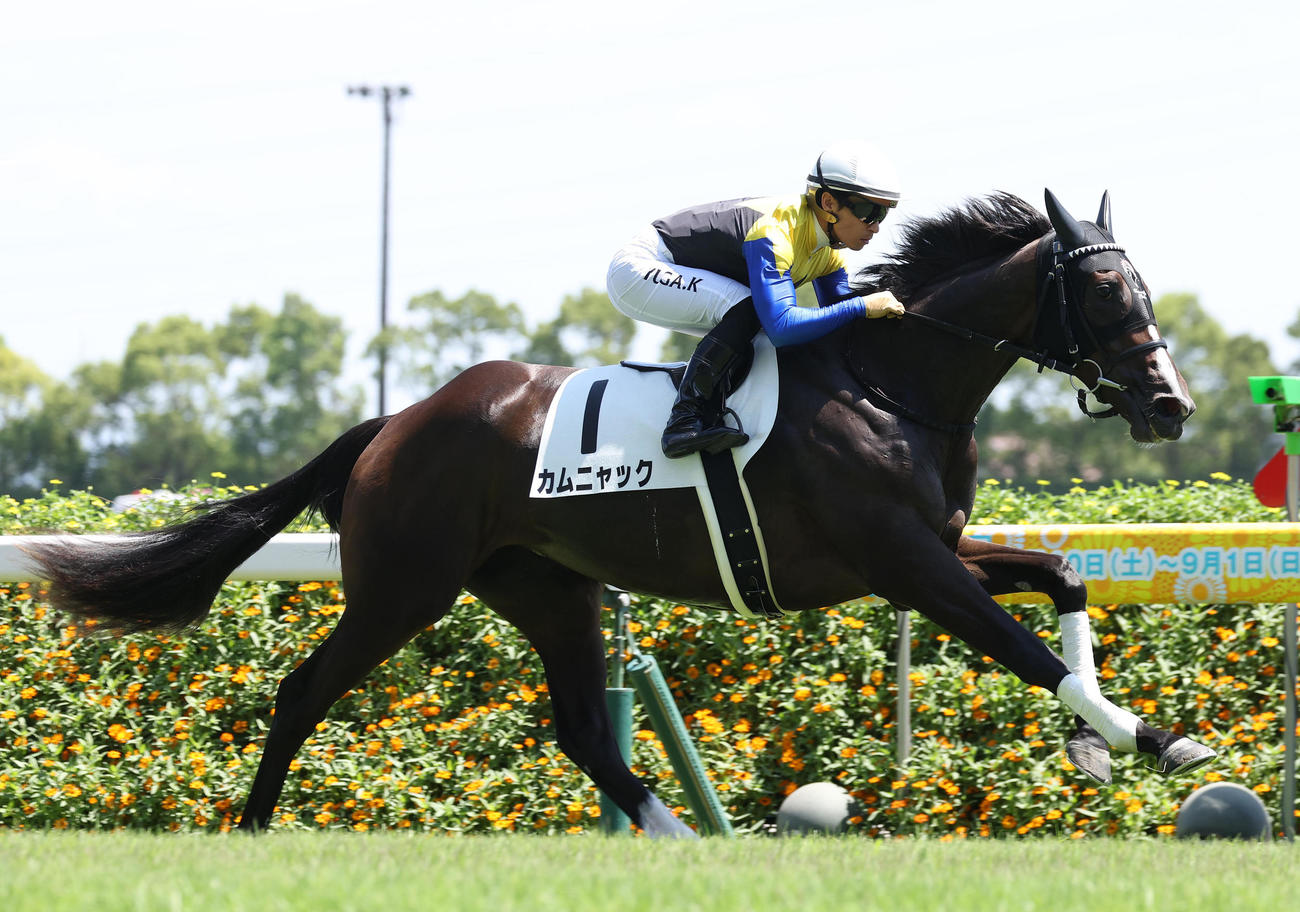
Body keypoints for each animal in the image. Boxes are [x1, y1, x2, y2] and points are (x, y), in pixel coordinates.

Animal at [26, 189, 1216, 836]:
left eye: (1144, 289)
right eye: (1104, 291)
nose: (1169, 404)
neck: (891, 379)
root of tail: (399, 421)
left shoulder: (938, 549)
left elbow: (1061, 578)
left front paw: (1096, 744)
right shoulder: (901, 563)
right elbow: (1024, 646)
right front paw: (1154, 740)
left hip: (547, 586)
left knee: (585, 731)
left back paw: (686, 834)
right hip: (405, 585)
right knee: (302, 688)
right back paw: (257, 824)